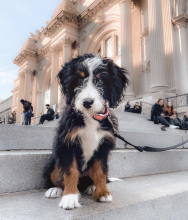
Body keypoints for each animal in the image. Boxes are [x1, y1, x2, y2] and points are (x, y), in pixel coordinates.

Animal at [43, 53, 129, 210]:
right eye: (79, 79)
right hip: (53, 164)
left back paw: (92, 187)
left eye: (100, 80)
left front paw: (103, 193)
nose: (87, 102)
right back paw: (55, 189)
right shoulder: (68, 144)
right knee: (56, 175)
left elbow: (101, 171)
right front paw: (70, 197)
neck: (90, 116)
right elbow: (70, 171)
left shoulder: (103, 147)